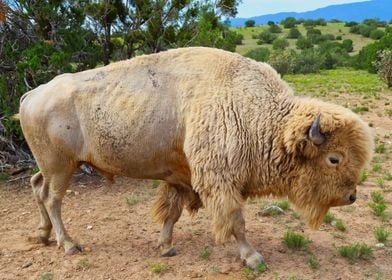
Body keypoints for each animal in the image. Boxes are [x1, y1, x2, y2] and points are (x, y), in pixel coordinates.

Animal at [19, 46, 374, 270]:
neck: (261, 116)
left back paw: (43, 235)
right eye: (334, 158)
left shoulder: (181, 177)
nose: (351, 196)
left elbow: (171, 213)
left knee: (37, 188)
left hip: (50, 167)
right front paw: (253, 258)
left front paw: (166, 247)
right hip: (61, 167)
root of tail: (32, 94)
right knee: (52, 199)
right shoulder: (220, 181)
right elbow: (236, 221)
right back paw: (69, 244)